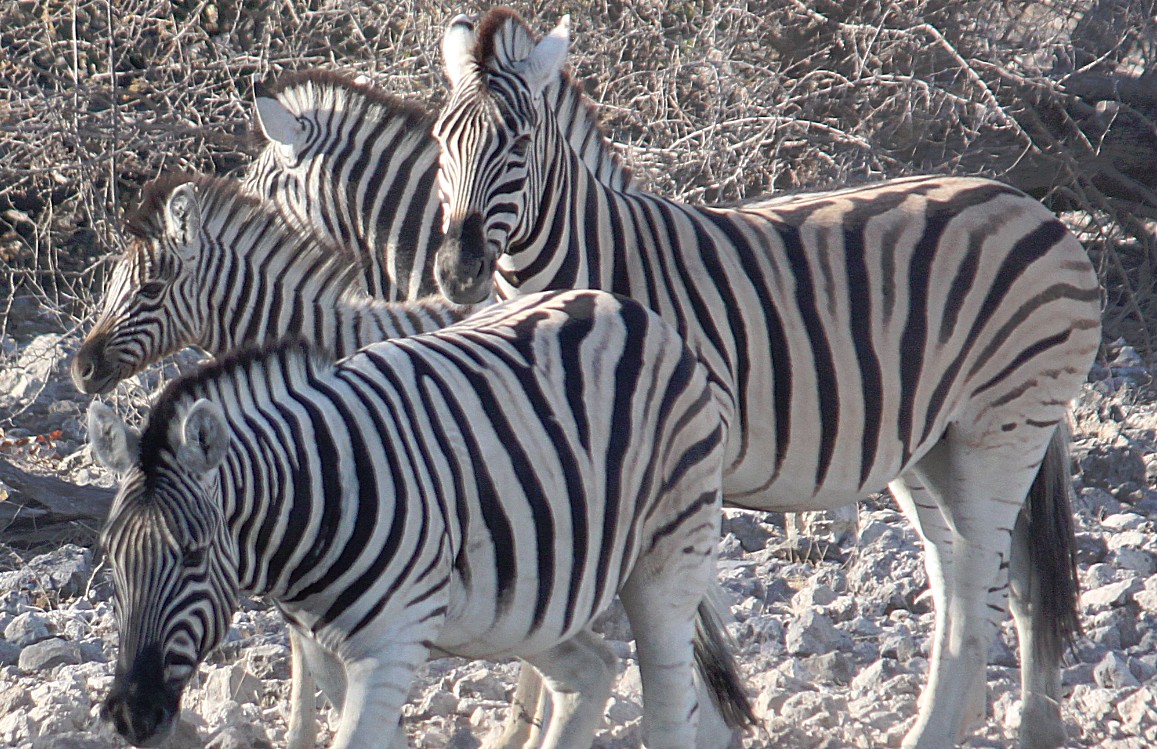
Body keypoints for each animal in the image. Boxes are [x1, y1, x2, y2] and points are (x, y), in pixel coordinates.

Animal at [92, 290, 758, 749]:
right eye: (112, 560)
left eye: (193, 554)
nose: (129, 714)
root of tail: (627, 307)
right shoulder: (331, 655)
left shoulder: (388, 647)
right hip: (526, 605)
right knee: (591, 672)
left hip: (667, 560)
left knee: (670, 708)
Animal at [432, 11, 1101, 749]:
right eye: (440, 143)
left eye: (518, 145)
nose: (458, 271)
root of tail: (1035, 208)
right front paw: (519, 729)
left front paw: (705, 723)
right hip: (936, 443)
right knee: (985, 576)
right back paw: (1020, 723)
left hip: (1005, 424)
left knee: (984, 584)